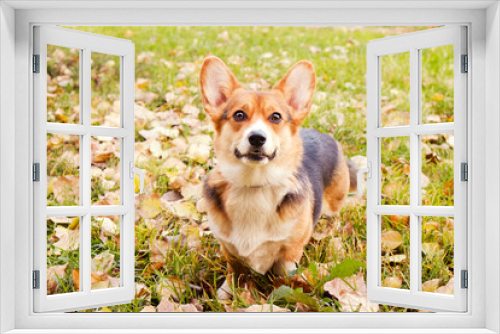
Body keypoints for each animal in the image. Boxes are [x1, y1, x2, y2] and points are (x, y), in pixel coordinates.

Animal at [197, 56, 358, 298]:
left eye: (275, 117)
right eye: (239, 115)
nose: (257, 138)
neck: (254, 186)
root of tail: (328, 137)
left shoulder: (289, 251)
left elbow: (284, 277)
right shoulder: (230, 251)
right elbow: (235, 274)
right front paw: (225, 295)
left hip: (333, 205)